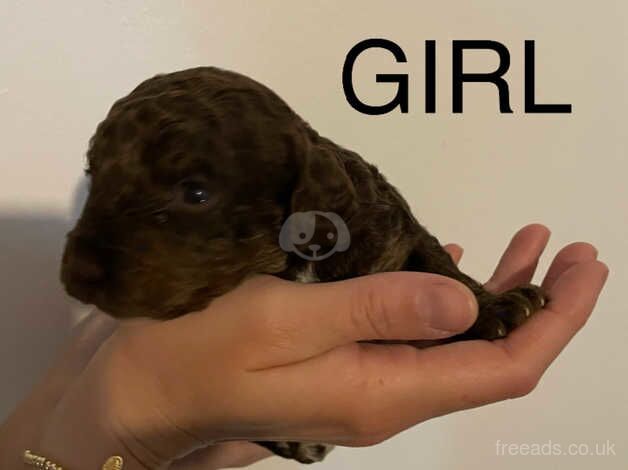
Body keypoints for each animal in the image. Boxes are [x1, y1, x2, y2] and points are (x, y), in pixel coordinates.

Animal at [61, 67, 548, 466]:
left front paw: (497, 306)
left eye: (196, 193)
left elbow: (439, 265)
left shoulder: (396, 232)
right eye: (94, 174)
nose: (77, 273)